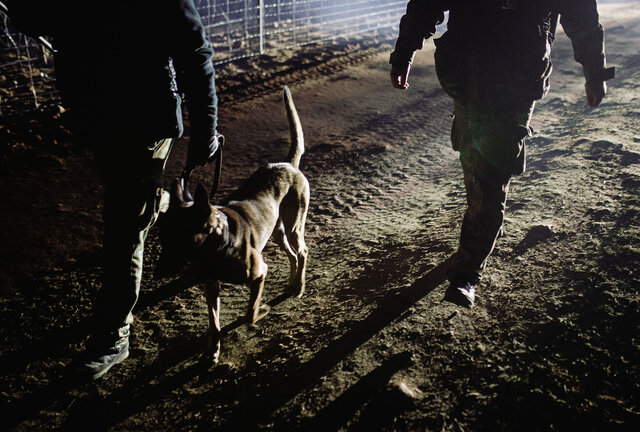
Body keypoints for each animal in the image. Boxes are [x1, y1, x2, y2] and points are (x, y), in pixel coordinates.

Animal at [159, 87, 312, 362]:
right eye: (161, 238)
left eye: (181, 238)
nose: (158, 271)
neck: (219, 246)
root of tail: (289, 165)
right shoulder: (211, 286)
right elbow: (214, 322)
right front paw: (213, 350)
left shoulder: (260, 273)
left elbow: (249, 314)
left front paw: (262, 310)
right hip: (277, 232)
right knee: (293, 255)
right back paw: (293, 283)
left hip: (294, 225)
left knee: (303, 252)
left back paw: (299, 287)